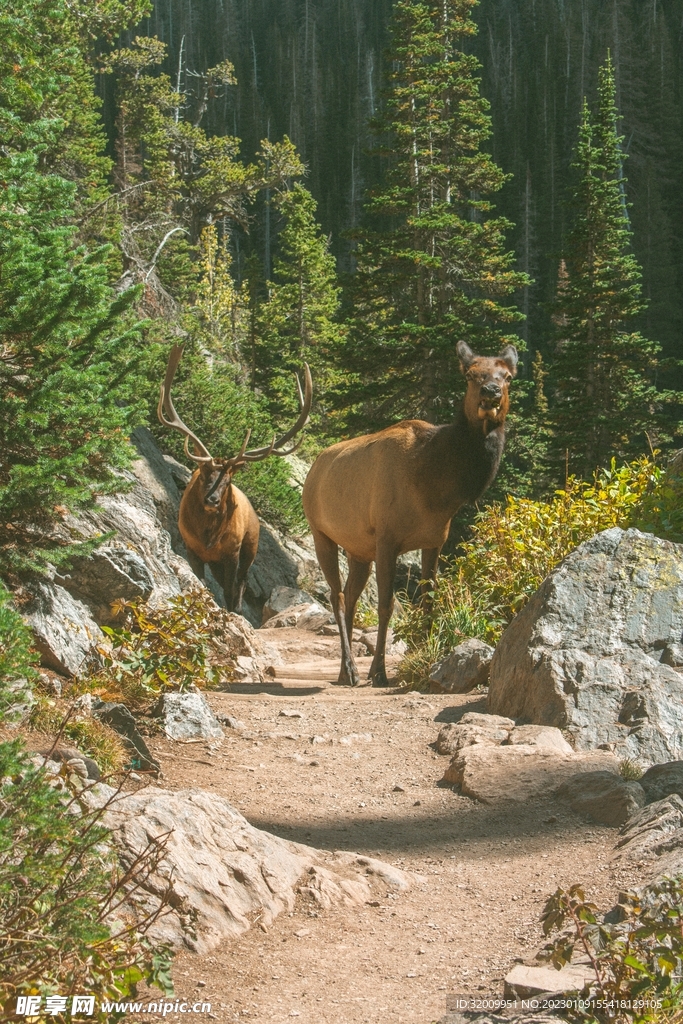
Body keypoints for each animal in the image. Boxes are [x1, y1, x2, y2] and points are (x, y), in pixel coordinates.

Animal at [158, 344, 312, 613]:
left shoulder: (232, 552)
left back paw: (238, 608)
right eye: (202, 475)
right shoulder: (191, 547)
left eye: (227, 480)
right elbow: (201, 583)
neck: (207, 537)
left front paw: (231, 612)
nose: (212, 500)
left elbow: (231, 590)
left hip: (250, 547)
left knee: (241, 583)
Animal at [302, 340, 518, 687]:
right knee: (336, 596)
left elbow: (428, 604)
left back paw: (344, 670)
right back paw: (351, 670)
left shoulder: (435, 541)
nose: (491, 392)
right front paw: (379, 671)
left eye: (508, 376)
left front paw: (427, 658)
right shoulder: (387, 539)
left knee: (350, 598)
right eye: (470, 375)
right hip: (321, 532)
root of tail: (315, 467)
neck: (436, 489)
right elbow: (386, 606)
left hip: (359, 550)